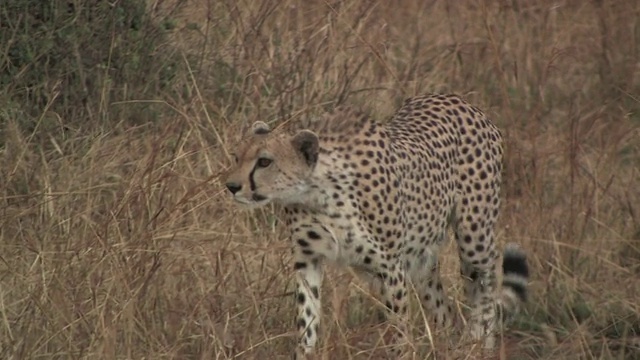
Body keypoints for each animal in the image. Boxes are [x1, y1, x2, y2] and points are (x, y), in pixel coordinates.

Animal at [225, 94, 528, 358]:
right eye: (237, 157)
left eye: (265, 161)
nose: (231, 186)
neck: (318, 193)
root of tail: (459, 100)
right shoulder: (308, 260)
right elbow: (307, 320)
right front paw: (304, 352)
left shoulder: (391, 268)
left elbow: (399, 328)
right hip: (421, 262)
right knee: (444, 311)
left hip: (473, 237)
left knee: (484, 286)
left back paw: (480, 343)